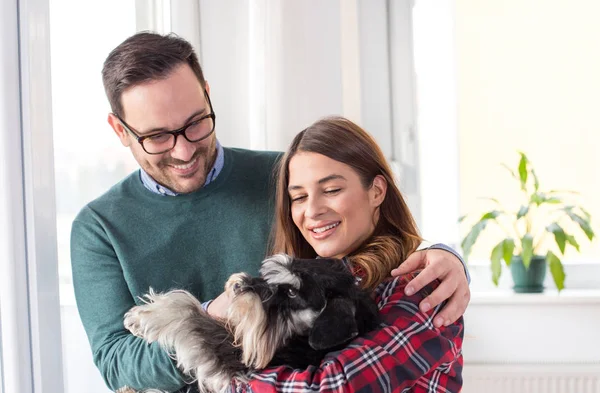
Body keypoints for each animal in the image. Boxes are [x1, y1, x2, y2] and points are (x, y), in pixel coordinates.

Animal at [124, 254, 380, 392]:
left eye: (292, 293)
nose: (239, 284)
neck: (300, 339)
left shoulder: (236, 361)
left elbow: (192, 315)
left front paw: (144, 317)